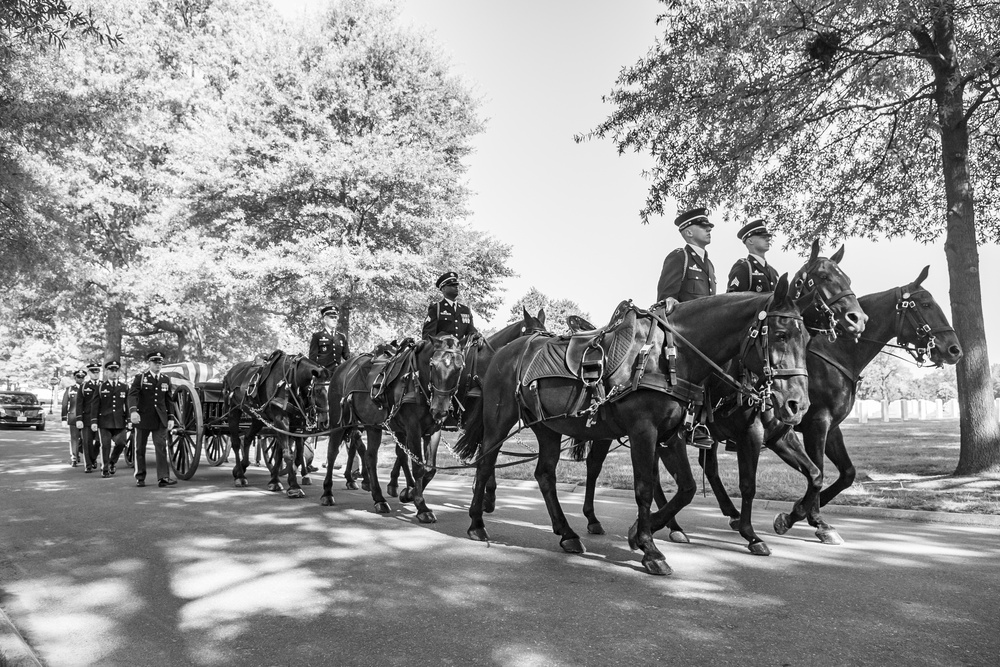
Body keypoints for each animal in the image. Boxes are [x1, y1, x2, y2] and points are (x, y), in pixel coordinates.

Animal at [223, 352, 332, 498]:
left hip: (258, 418)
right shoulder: (281, 420)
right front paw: (294, 486)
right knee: (235, 443)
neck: (291, 382)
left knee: (247, 438)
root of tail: (230, 373)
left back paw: (242, 466)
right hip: (233, 411)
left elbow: (288, 454)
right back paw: (240, 475)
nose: (325, 422)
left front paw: (275, 480)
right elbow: (287, 454)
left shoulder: (294, 424)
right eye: (319, 390)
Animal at [318, 334, 462, 520]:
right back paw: (328, 492)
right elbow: (417, 467)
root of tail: (342, 368)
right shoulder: (412, 429)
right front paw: (421, 505)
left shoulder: (432, 431)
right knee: (333, 453)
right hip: (339, 422)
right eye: (432, 365)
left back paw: (378, 498)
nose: (439, 409)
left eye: (459, 368)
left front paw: (409, 493)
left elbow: (429, 468)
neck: (415, 380)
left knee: (370, 457)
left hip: (372, 426)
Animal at [454, 274, 812, 576]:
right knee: (486, 464)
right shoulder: (644, 431)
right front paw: (650, 548)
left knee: (544, 475)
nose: (798, 404)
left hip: (549, 429)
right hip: (499, 421)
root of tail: (502, 353)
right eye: (781, 335)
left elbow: (686, 488)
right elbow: (644, 489)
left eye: (807, 337)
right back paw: (476, 523)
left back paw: (567, 533)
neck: (668, 354)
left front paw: (642, 533)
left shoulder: (670, 436)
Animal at [576, 243, 872, 556]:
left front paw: (794, 518)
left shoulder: (783, 434)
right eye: (823, 278)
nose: (858, 319)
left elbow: (815, 474)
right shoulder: (759, 432)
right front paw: (756, 533)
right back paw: (602, 520)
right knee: (597, 465)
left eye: (847, 278)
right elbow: (748, 484)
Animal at [768, 266, 964, 544]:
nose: (954, 350)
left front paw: (804, 512)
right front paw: (808, 517)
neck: (836, 353)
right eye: (926, 304)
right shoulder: (817, 424)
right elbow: (818, 470)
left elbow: (846, 474)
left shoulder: (831, 427)